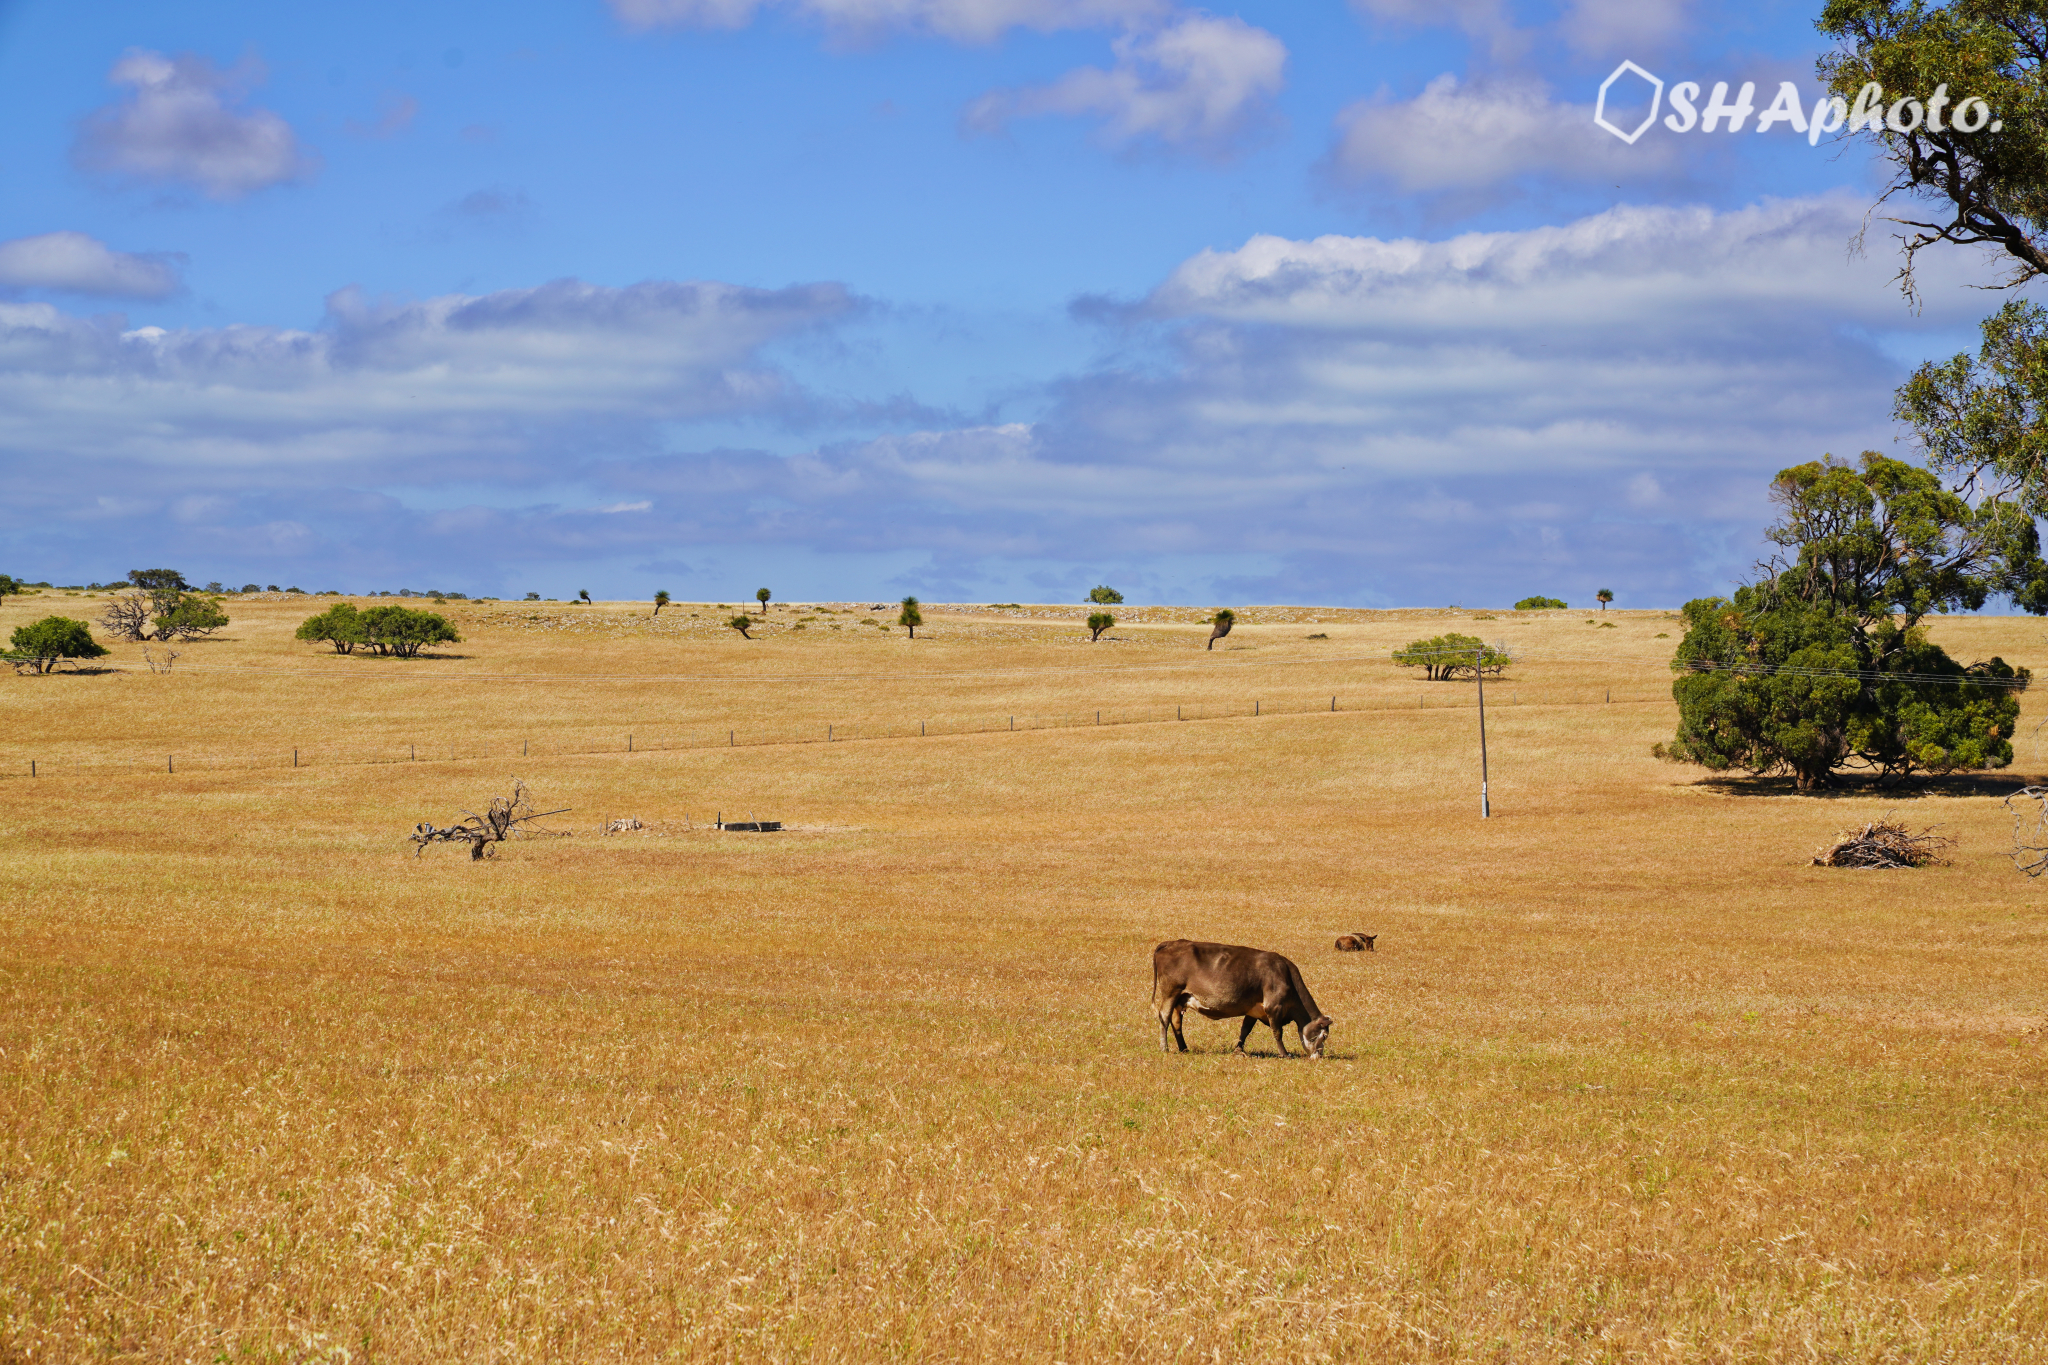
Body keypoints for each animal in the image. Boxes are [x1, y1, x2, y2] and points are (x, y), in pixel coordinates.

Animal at [1146, 945, 1335, 1064]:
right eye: (1324, 1035)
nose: (1319, 1056)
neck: (1285, 974)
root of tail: (1172, 943)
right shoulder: (1274, 1007)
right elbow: (1277, 1032)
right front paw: (1285, 1054)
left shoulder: (1254, 1010)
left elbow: (1245, 1030)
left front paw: (1238, 1050)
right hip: (1171, 992)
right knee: (1164, 1017)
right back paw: (1164, 1047)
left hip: (1180, 998)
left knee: (1176, 1022)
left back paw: (1184, 1048)